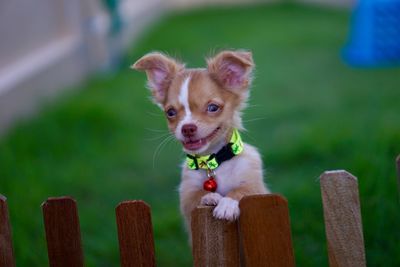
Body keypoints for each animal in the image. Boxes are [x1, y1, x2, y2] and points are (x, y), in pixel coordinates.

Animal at [134, 49, 268, 232]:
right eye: (170, 112)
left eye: (213, 108)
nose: (187, 128)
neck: (214, 163)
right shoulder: (186, 194)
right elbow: (196, 194)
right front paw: (211, 197)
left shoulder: (255, 185)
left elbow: (242, 190)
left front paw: (227, 204)